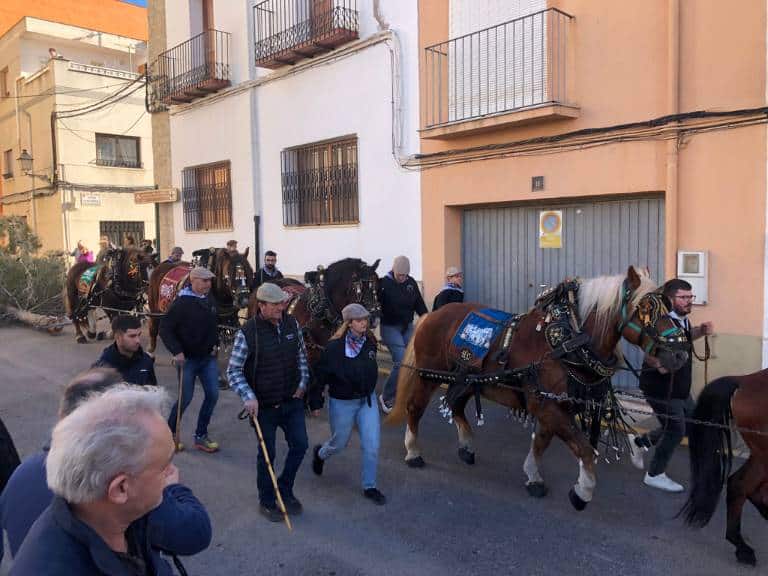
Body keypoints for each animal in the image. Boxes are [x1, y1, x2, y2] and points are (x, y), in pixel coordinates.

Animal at [388, 266, 688, 508]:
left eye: (668, 305)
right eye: (645, 309)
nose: (678, 354)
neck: (566, 341)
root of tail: (432, 315)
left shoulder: (551, 404)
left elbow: (542, 441)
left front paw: (533, 476)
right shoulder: (548, 406)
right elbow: (584, 449)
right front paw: (583, 491)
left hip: (465, 378)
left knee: (456, 404)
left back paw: (466, 447)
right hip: (428, 375)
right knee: (415, 408)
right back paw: (413, 451)